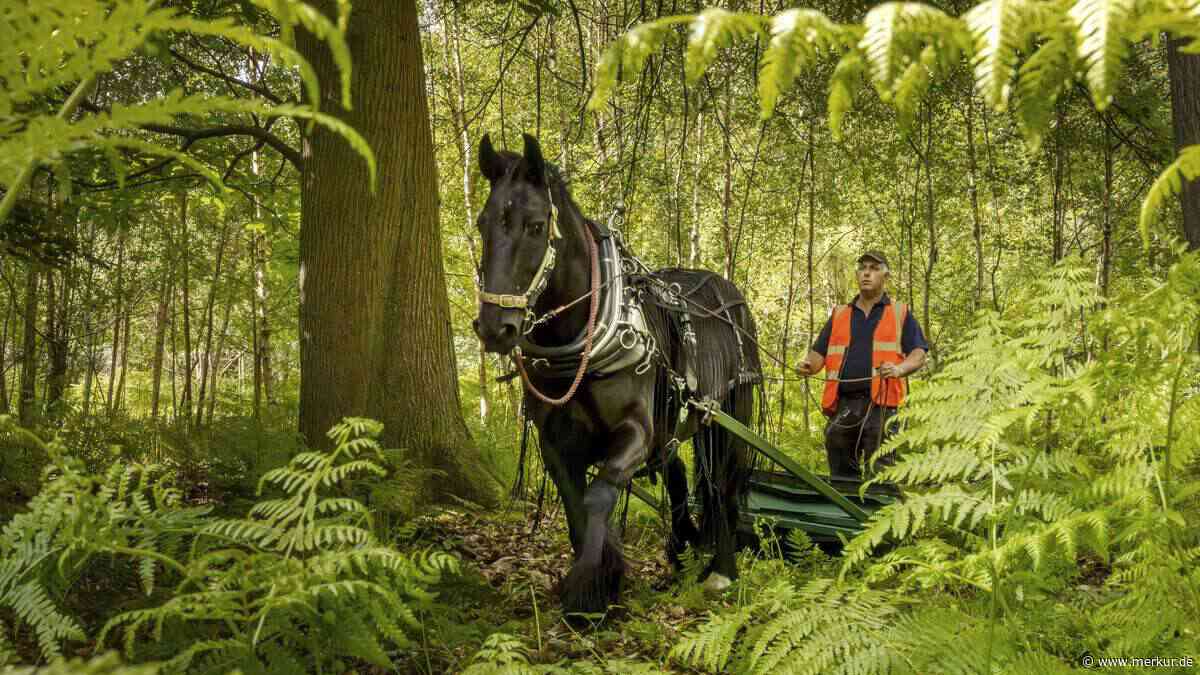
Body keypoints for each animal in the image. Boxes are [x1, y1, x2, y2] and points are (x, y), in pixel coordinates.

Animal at [472, 133, 763, 615]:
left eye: (535, 226)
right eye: (482, 225)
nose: (496, 328)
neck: (582, 344)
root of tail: (726, 289)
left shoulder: (636, 430)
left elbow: (599, 496)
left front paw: (591, 584)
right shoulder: (556, 445)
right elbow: (576, 507)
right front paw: (600, 579)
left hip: (727, 414)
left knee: (720, 483)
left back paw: (721, 569)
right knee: (678, 471)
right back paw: (681, 548)